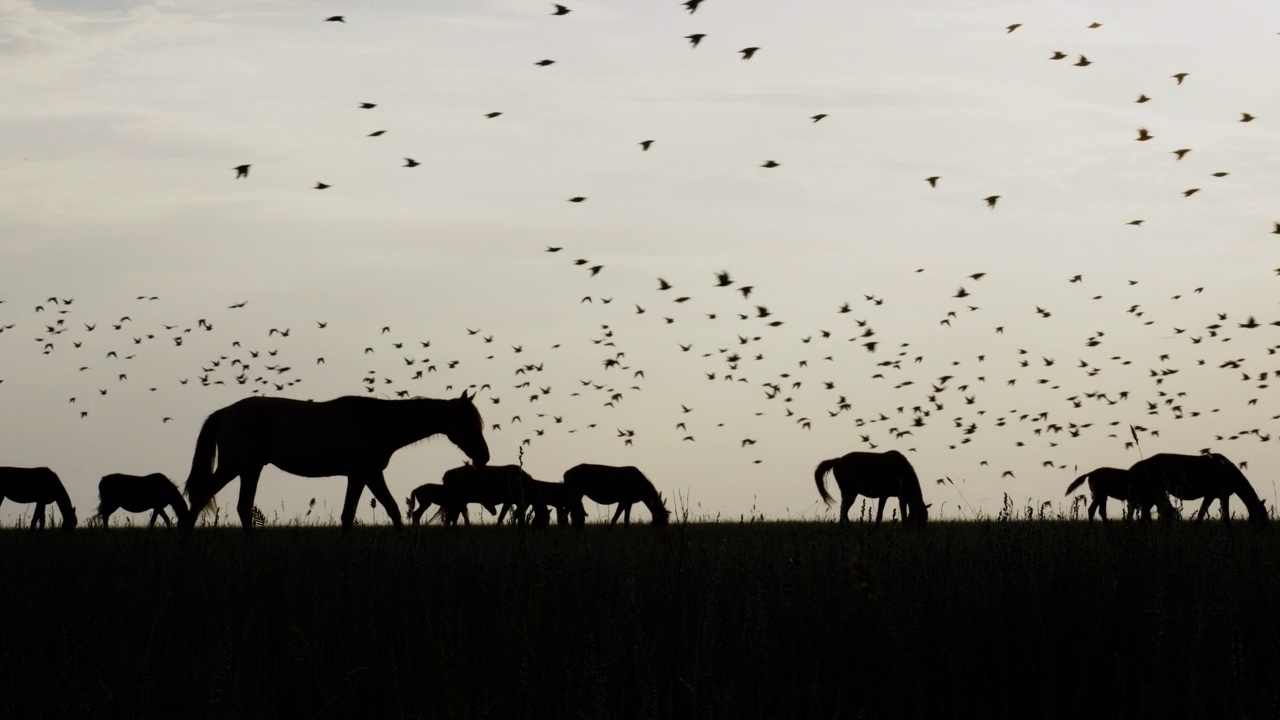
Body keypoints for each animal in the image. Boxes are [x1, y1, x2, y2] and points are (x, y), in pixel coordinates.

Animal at [175, 389, 483, 530]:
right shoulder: (366, 474)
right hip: (233, 466)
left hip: (250, 469)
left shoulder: (363, 475)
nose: (484, 455)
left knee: (243, 508)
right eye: (469, 422)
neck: (378, 422)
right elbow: (379, 510)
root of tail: (224, 412)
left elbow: (371, 511)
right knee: (203, 496)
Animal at [1131, 453, 1269, 520]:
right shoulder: (1218, 496)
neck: (1228, 472)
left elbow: (1201, 515)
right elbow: (1222, 518)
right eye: (1262, 515)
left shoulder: (1214, 496)